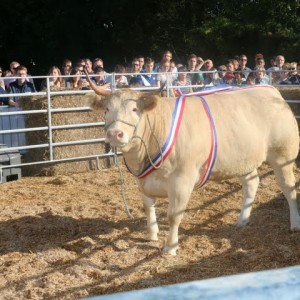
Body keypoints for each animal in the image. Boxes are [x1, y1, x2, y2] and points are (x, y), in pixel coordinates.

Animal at [85, 76, 300, 254]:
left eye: (134, 109)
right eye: (107, 110)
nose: (115, 134)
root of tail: (271, 91)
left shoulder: (182, 179)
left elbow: (173, 215)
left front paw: (170, 247)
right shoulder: (142, 179)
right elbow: (148, 208)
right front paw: (152, 235)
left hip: (283, 155)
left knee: (289, 188)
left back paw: (294, 224)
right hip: (243, 159)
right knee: (252, 183)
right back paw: (242, 220)